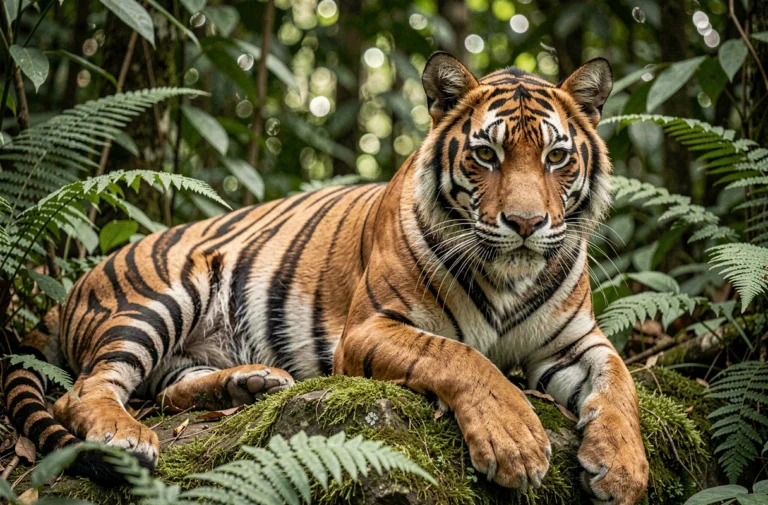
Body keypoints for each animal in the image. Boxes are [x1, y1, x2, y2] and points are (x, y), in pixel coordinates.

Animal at [5, 53, 648, 503]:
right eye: (486, 155)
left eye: (556, 158)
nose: (525, 223)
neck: (509, 278)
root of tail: (73, 289)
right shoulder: (371, 328)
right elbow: (464, 359)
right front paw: (515, 442)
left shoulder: (575, 342)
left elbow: (621, 384)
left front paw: (624, 469)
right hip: (166, 293)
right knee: (83, 389)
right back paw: (128, 434)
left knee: (164, 388)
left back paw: (251, 384)